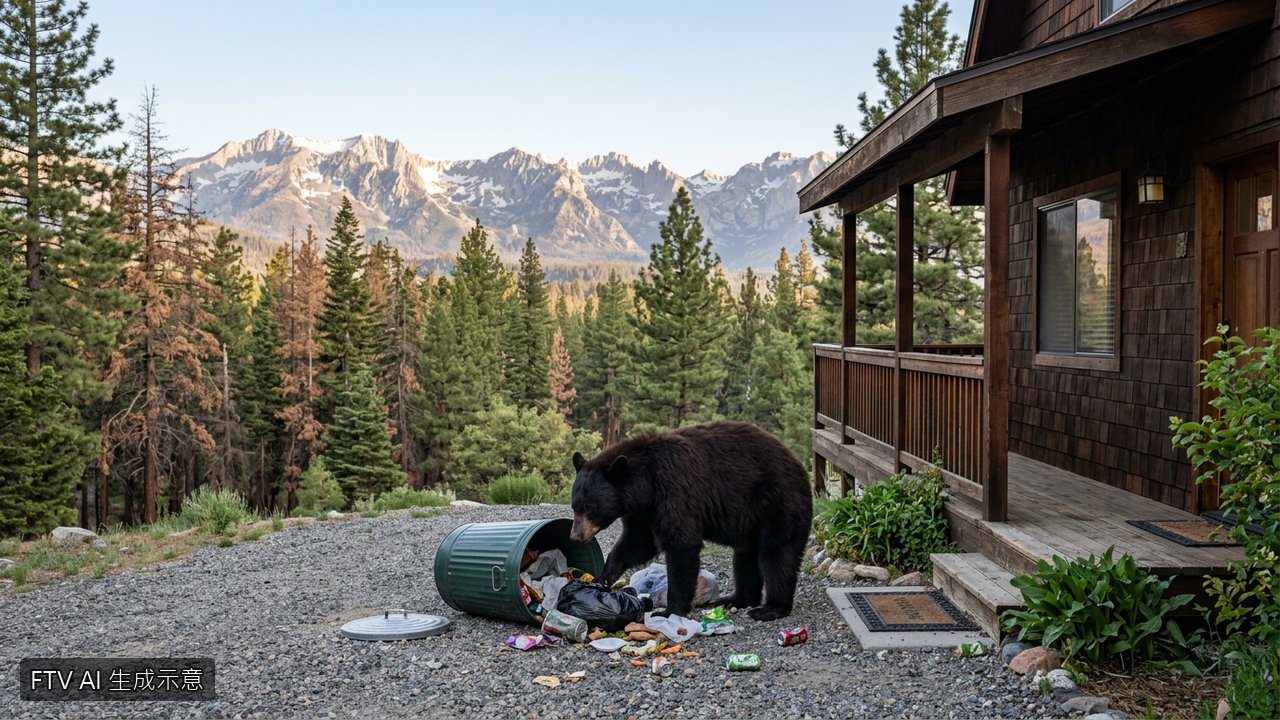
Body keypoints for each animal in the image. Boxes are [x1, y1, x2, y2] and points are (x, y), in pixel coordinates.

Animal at [569, 420, 813, 621]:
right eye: (575, 505)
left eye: (590, 507)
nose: (576, 537)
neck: (646, 486)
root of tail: (799, 465)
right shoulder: (642, 513)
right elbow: (637, 543)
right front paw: (602, 577)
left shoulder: (675, 492)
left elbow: (681, 545)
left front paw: (669, 610)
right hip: (751, 522)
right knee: (745, 557)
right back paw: (736, 598)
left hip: (778, 503)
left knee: (777, 554)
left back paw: (771, 608)